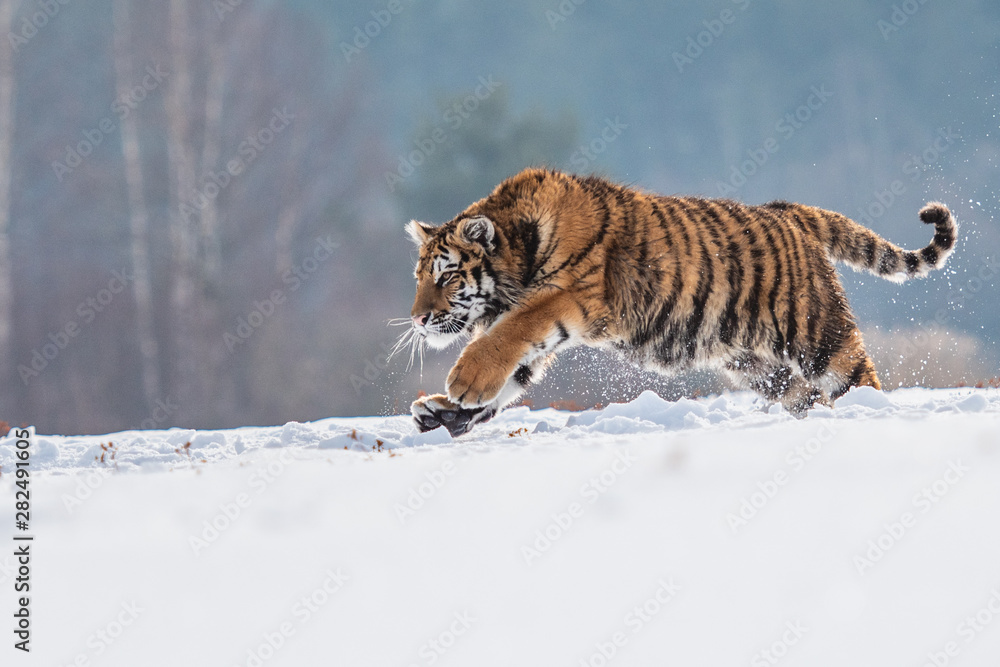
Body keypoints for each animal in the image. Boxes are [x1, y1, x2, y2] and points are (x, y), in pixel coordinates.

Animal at [394, 168, 956, 438]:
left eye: (447, 276)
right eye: (419, 276)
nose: (419, 318)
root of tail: (791, 212)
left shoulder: (571, 298)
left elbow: (509, 333)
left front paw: (462, 383)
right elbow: (512, 375)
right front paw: (441, 413)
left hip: (820, 335)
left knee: (858, 379)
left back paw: (870, 415)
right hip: (759, 366)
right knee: (807, 397)